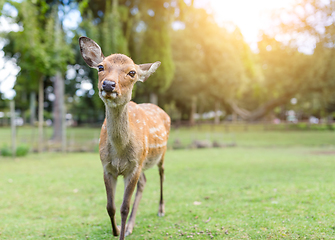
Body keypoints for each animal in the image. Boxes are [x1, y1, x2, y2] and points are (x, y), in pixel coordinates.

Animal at [79, 36, 171, 240]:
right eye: (101, 67)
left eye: (132, 72)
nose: (108, 84)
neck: (119, 152)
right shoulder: (107, 167)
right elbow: (110, 207)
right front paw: (117, 230)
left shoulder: (134, 167)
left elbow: (123, 208)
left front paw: (121, 231)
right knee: (144, 183)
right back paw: (130, 226)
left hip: (160, 153)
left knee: (162, 173)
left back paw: (161, 209)